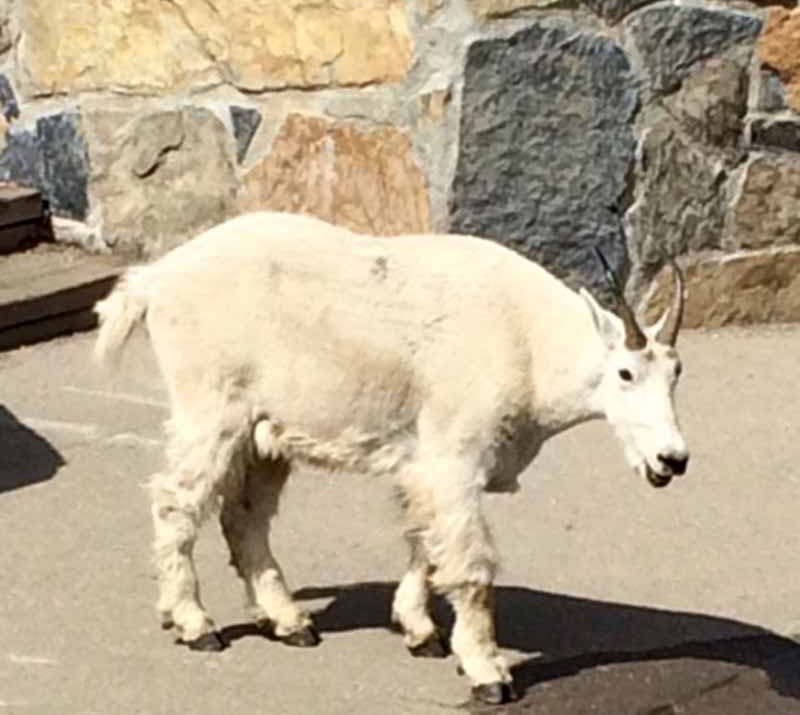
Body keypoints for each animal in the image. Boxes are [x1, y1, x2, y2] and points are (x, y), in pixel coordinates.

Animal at [92, 211, 688, 704]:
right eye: (625, 373)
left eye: (676, 372)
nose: (672, 459)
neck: (531, 344)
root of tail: (155, 279)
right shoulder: (455, 459)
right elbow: (471, 567)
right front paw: (488, 673)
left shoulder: (426, 465)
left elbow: (425, 543)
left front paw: (418, 631)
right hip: (210, 408)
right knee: (176, 502)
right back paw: (196, 624)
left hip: (266, 431)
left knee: (244, 517)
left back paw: (289, 622)